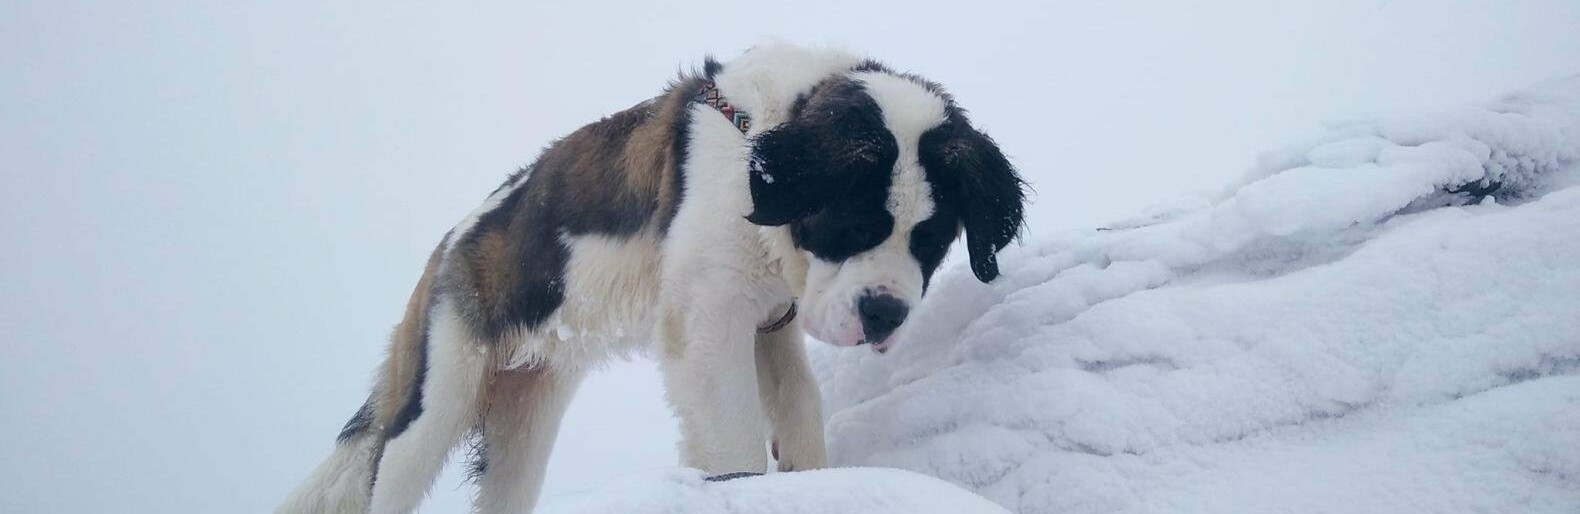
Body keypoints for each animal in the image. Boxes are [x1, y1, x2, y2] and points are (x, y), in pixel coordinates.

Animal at [282, 43, 1023, 512]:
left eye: (931, 241)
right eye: (851, 225)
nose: (884, 315)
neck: (759, 144)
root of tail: (449, 243)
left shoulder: (770, 324)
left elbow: (799, 408)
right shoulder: (710, 317)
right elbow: (734, 436)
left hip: (526, 416)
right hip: (437, 399)